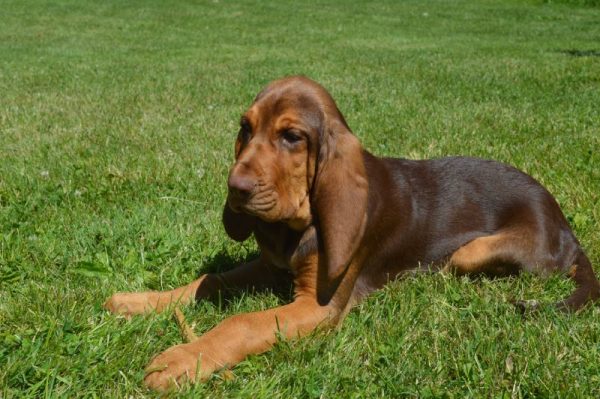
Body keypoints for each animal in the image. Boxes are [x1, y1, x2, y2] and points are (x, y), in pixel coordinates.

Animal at [104, 76, 600, 392]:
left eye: (292, 137)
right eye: (246, 128)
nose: (236, 188)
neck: (298, 224)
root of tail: (567, 228)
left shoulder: (317, 307)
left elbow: (240, 322)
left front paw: (180, 360)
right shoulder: (268, 266)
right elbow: (207, 282)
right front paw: (139, 301)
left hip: (470, 252)